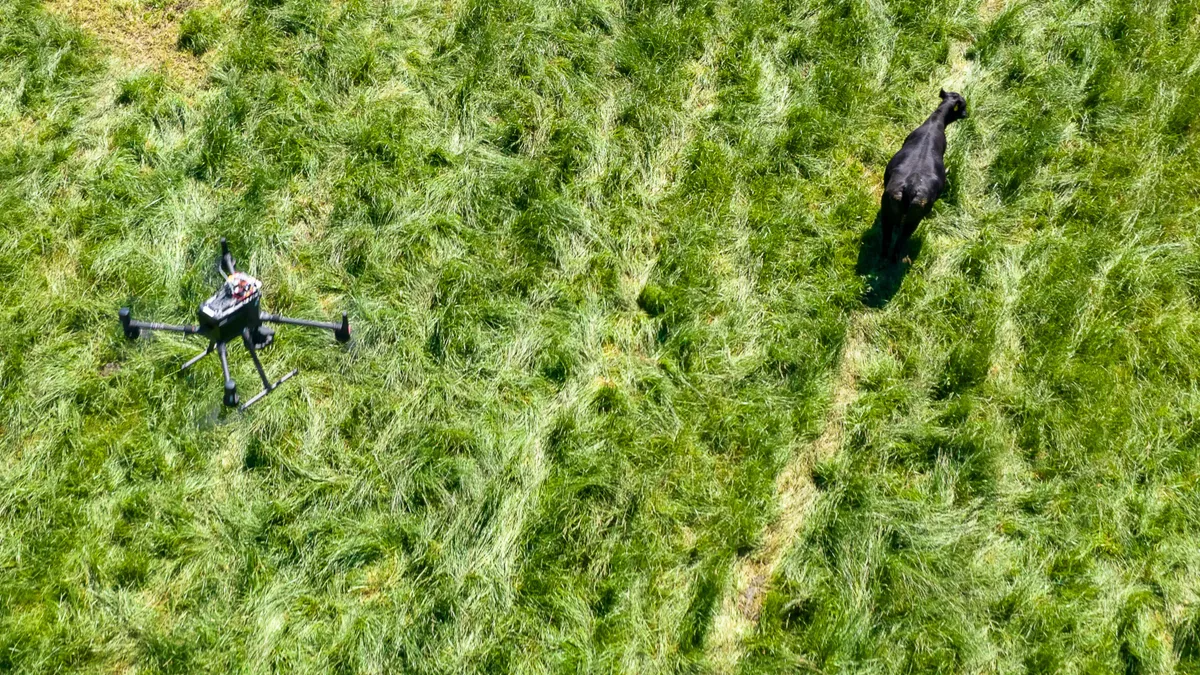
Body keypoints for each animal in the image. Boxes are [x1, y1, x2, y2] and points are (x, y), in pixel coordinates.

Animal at [878, 87, 969, 260]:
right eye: (963, 105)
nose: (966, 114)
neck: (936, 122)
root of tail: (910, 186)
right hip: (913, 220)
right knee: (899, 242)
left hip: (888, 212)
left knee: (886, 241)